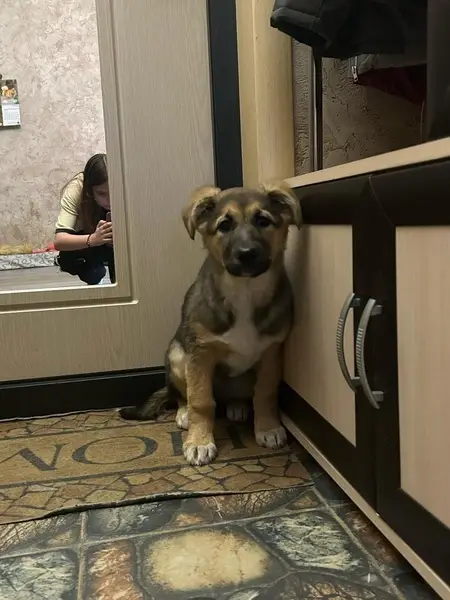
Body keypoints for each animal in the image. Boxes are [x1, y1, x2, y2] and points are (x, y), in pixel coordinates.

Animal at [121, 181, 301, 466]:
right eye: (224, 225)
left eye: (263, 221)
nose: (247, 254)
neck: (244, 293)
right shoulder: (200, 355)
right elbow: (201, 401)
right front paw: (199, 441)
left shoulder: (271, 354)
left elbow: (265, 393)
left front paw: (268, 428)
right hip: (177, 356)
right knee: (182, 395)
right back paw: (184, 414)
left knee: (237, 396)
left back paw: (237, 406)